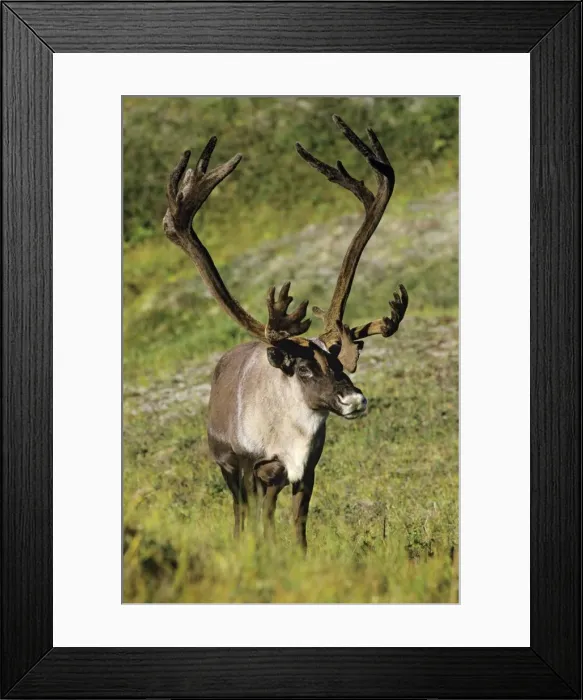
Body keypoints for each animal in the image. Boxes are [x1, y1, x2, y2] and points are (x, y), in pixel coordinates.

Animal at [162, 115, 408, 550]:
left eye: (342, 366)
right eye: (306, 370)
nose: (354, 400)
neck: (287, 437)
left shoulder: (305, 470)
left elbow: (296, 525)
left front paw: (296, 554)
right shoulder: (249, 465)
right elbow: (254, 521)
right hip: (227, 465)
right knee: (242, 513)